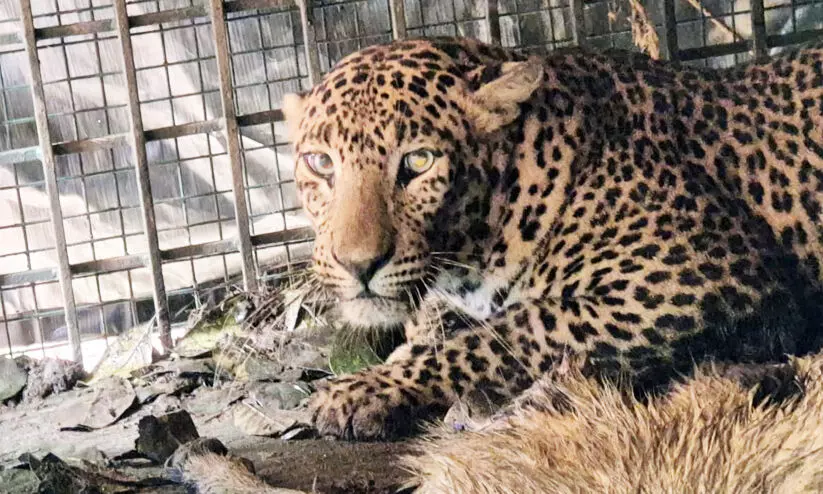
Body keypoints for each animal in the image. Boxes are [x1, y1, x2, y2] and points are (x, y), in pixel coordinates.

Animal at [279, 35, 823, 441]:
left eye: (419, 161)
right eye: (320, 163)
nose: (358, 265)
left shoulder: (696, 275)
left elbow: (509, 333)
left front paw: (363, 390)